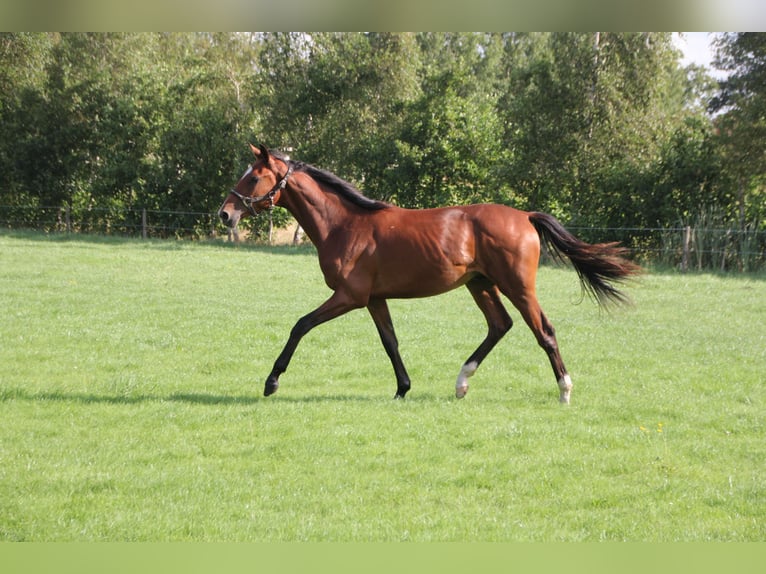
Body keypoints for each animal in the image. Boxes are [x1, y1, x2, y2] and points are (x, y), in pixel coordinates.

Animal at [219, 144, 640, 404]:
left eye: (253, 178)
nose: (225, 214)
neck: (345, 224)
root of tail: (524, 216)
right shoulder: (374, 299)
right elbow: (390, 342)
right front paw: (402, 389)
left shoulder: (349, 297)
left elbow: (300, 325)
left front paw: (272, 381)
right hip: (480, 284)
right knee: (499, 325)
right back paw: (462, 382)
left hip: (517, 286)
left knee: (544, 331)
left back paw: (564, 390)